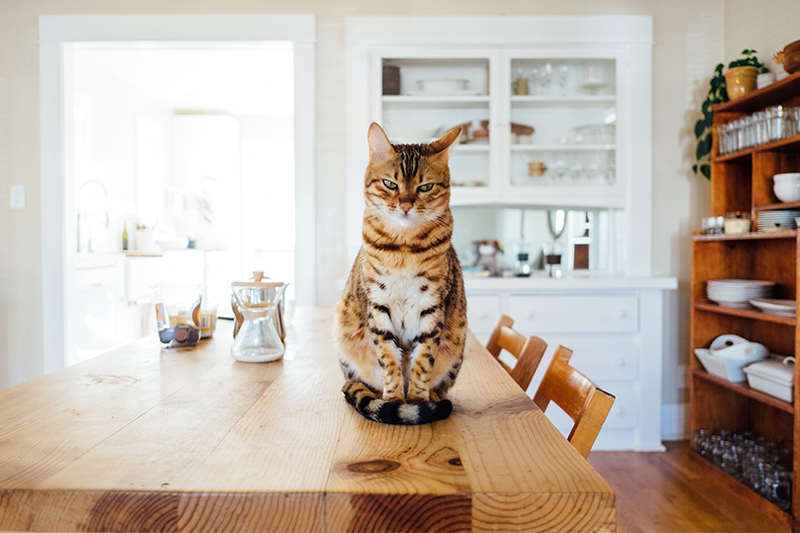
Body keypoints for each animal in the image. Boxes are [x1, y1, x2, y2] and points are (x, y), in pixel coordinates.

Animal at [332, 121, 468, 424]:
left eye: (425, 186)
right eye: (390, 184)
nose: (406, 205)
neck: (405, 248)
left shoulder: (432, 306)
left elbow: (423, 361)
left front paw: (417, 400)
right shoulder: (379, 305)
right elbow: (389, 360)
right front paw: (394, 401)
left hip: (457, 347)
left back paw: (433, 398)